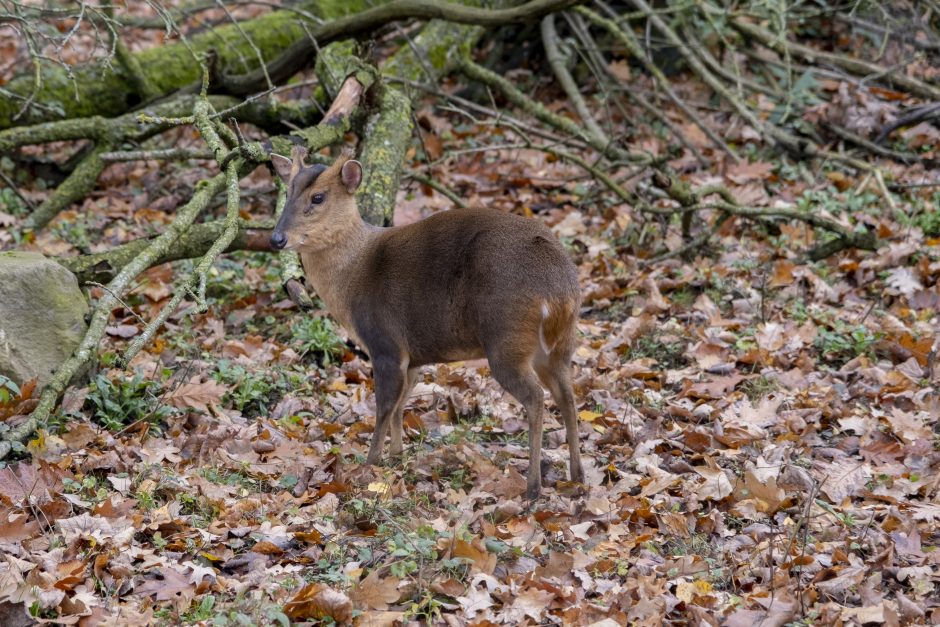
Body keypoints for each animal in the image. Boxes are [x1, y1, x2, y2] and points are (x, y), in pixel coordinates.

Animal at [268, 147, 584, 500]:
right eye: (287, 193)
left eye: (318, 197)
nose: (276, 238)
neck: (353, 277)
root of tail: (558, 290)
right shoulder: (413, 356)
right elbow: (401, 404)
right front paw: (396, 455)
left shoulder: (385, 343)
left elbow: (384, 405)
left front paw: (370, 463)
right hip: (559, 344)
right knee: (567, 395)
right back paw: (577, 475)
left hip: (507, 337)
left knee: (537, 397)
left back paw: (533, 486)